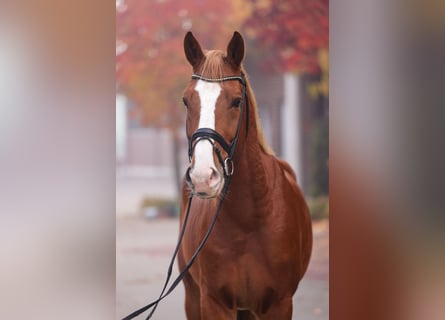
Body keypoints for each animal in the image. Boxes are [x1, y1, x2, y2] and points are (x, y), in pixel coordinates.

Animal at [178, 31, 312, 320]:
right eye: (186, 100)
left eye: (236, 101)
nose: (203, 176)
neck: (249, 219)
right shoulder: (214, 303)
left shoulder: (279, 304)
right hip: (193, 297)